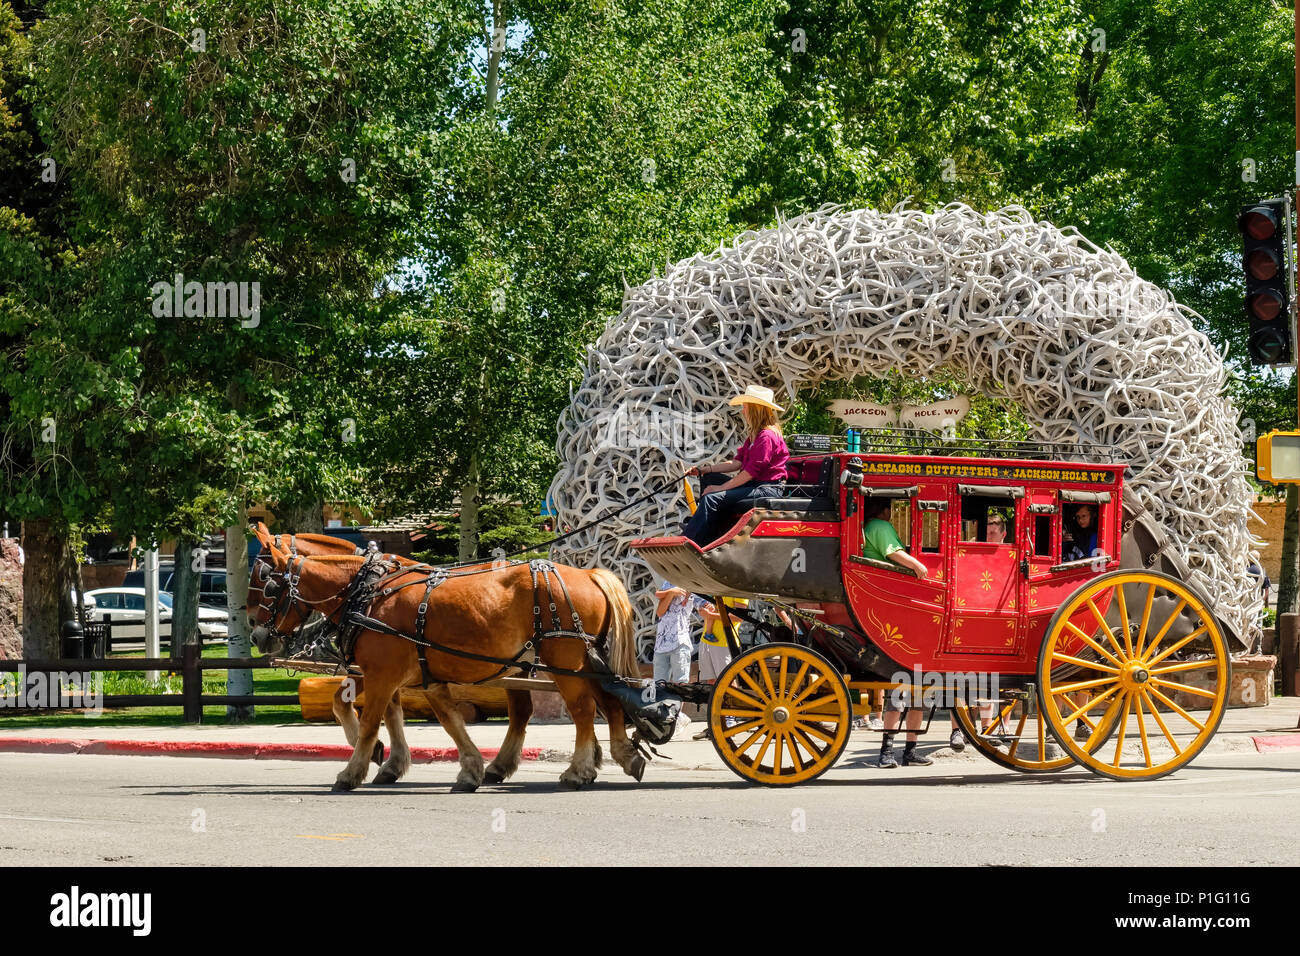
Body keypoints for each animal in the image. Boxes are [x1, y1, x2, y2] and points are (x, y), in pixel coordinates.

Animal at [245, 528, 642, 790]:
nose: (256, 636)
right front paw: (460, 769)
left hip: (565, 660)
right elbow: (440, 719)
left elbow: (371, 718)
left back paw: (578, 770)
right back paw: (618, 754)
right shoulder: (414, 674)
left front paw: (355, 767)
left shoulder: (380, 672)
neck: (368, 592)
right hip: (582, 660)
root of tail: (589, 573)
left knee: (582, 710)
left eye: (266, 583)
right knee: (606, 701)